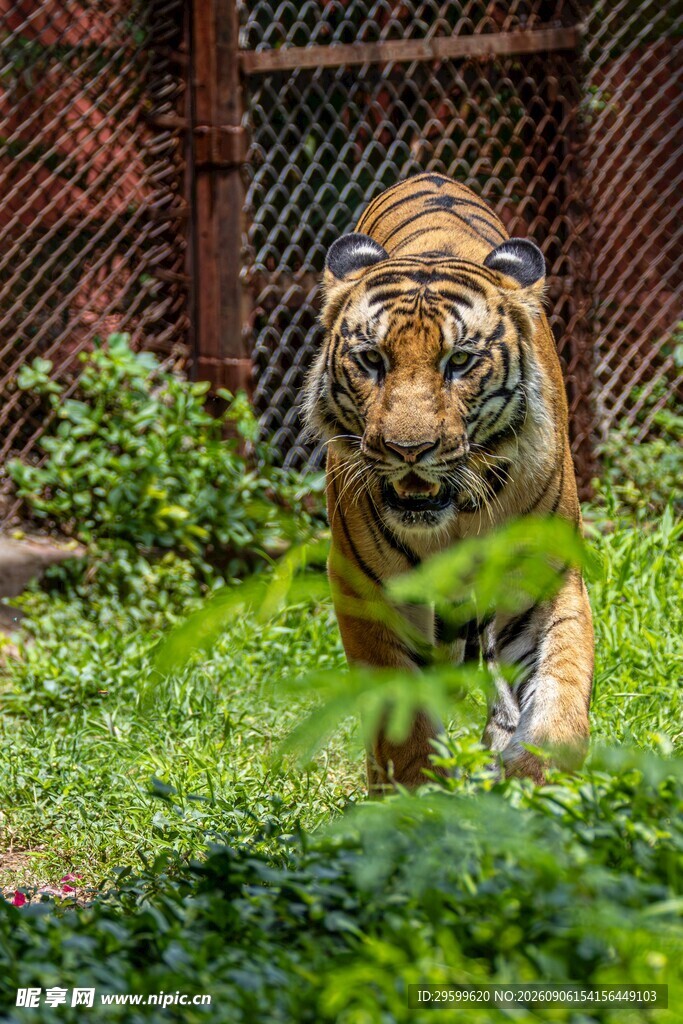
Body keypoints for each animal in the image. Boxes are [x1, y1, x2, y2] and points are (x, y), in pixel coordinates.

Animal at [303, 172, 594, 792]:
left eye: (458, 361)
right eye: (372, 359)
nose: (409, 450)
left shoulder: (546, 577)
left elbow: (560, 692)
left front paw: (534, 782)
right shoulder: (369, 589)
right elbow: (403, 720)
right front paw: (417, 796)